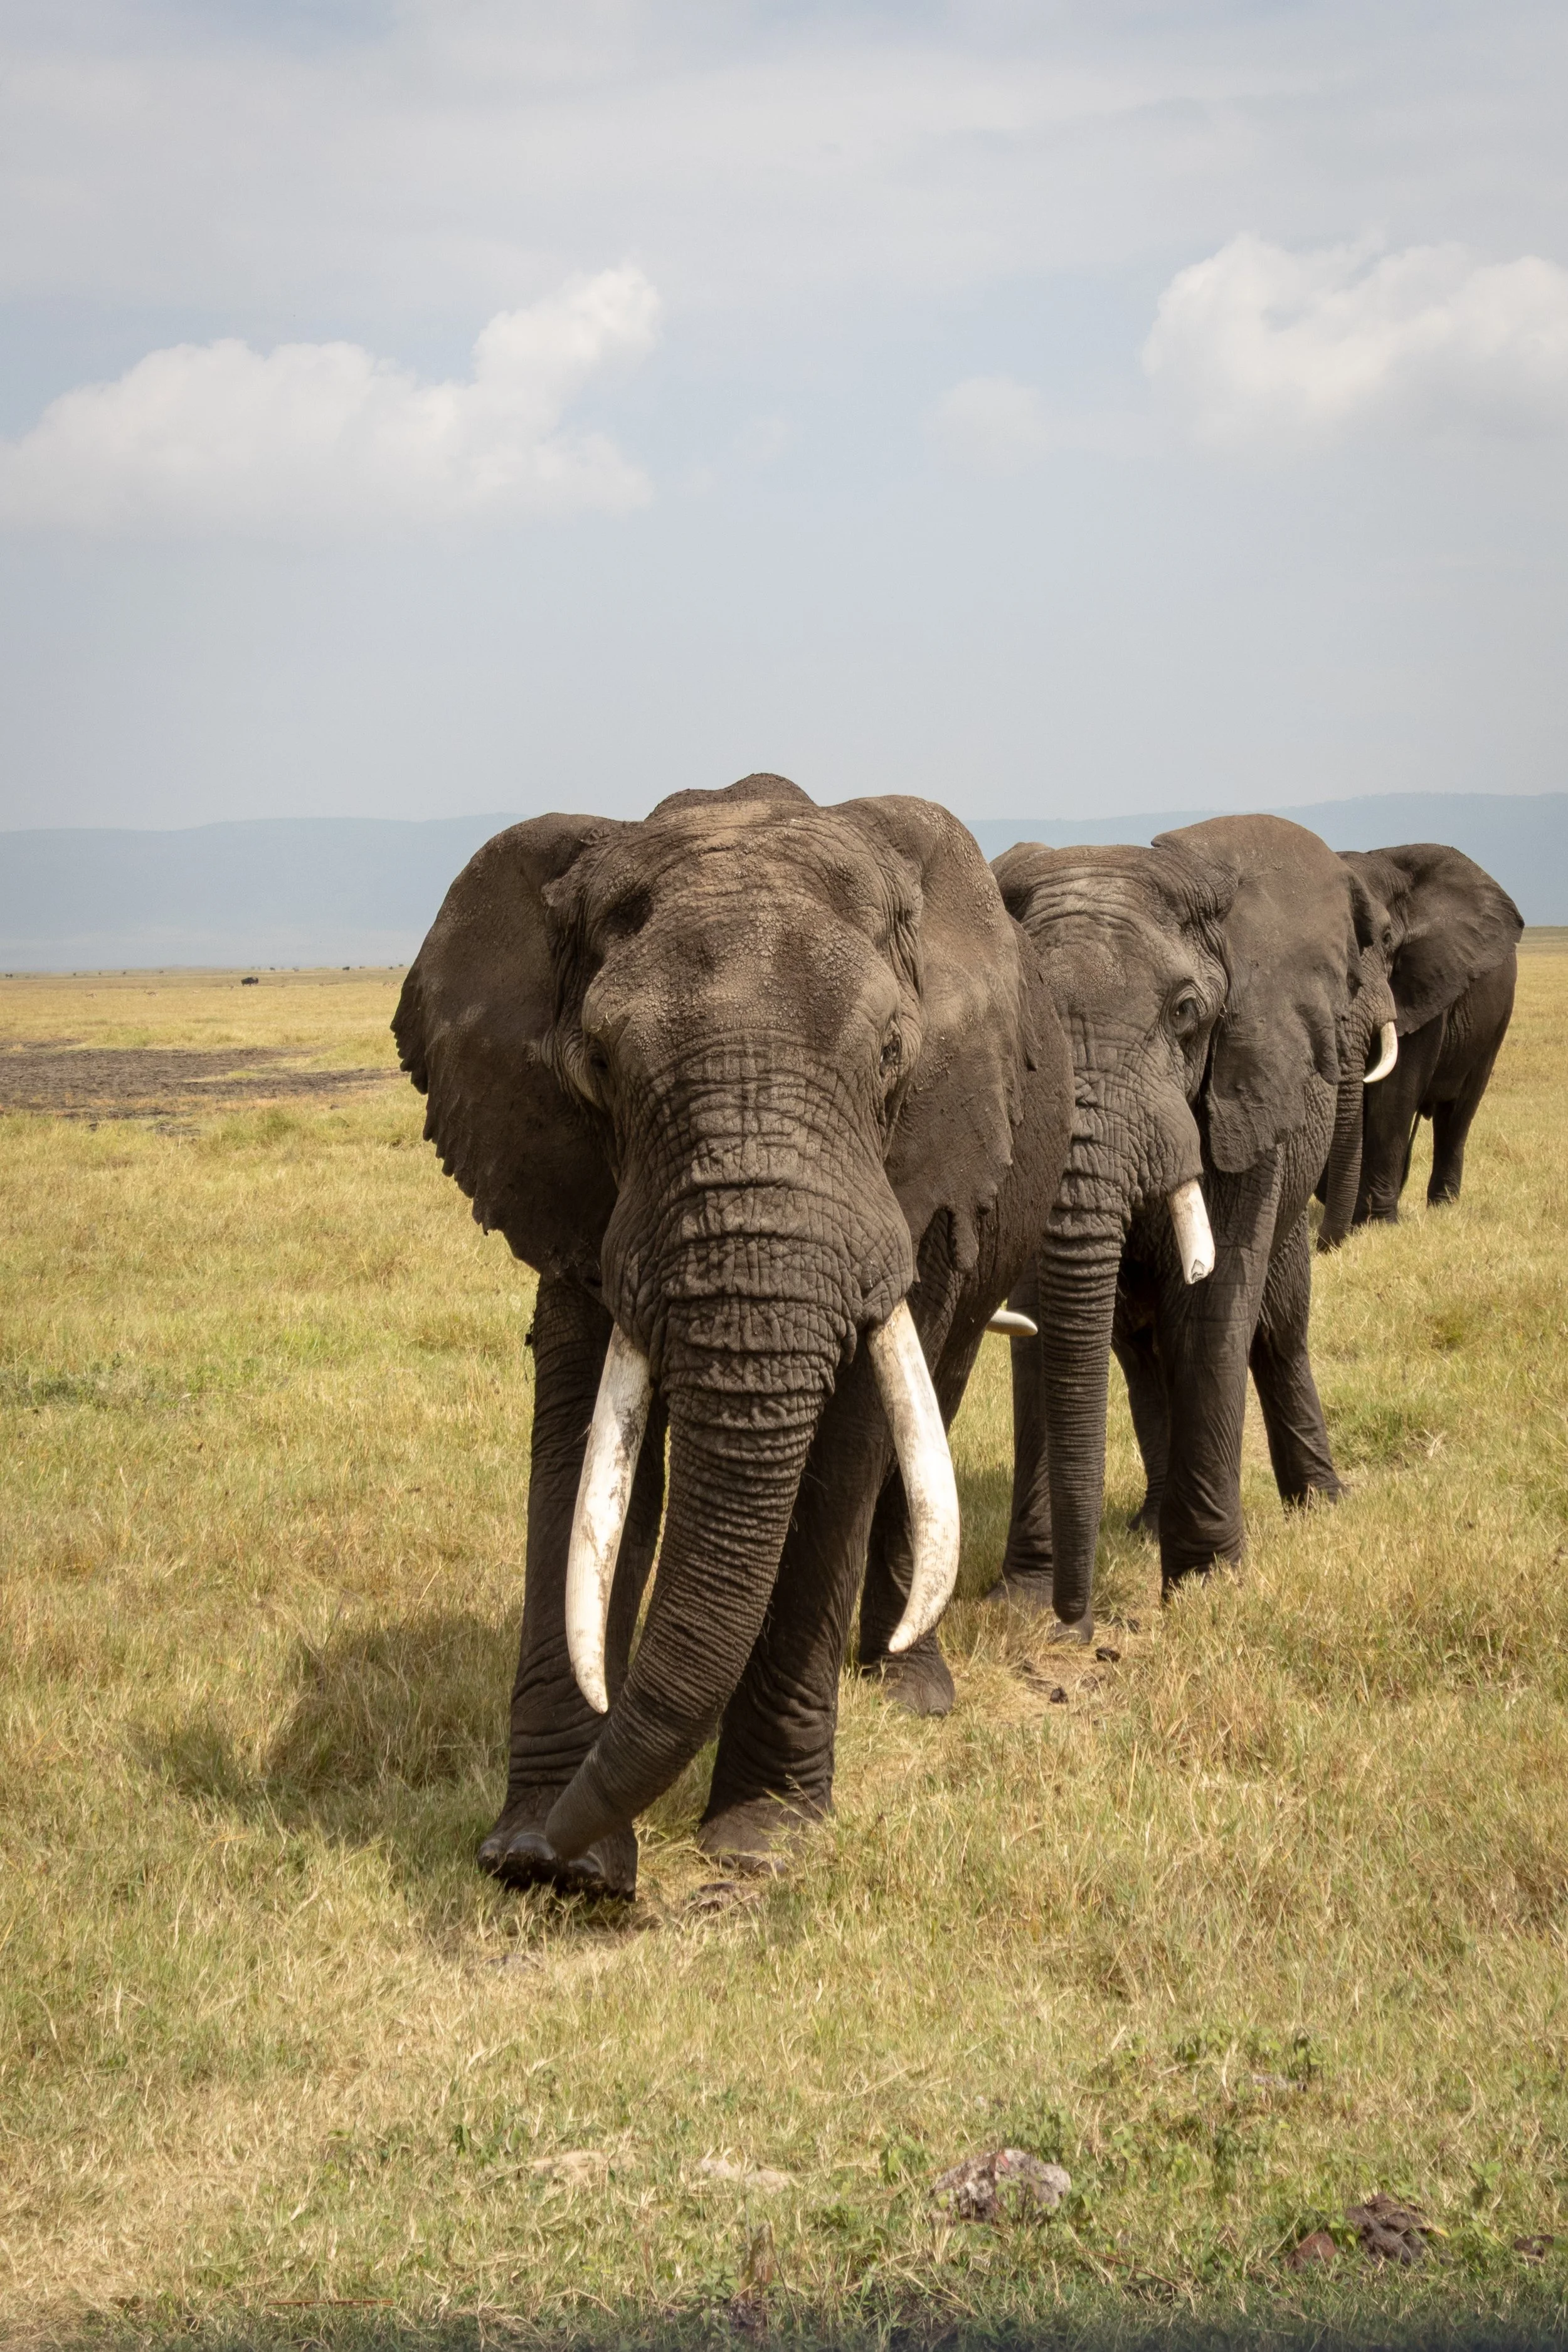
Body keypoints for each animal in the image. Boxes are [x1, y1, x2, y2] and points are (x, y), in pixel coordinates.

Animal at [393, 774, 1072, 1895]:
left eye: (892, 1056)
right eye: (599, 1067)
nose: (556, 1854)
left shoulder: (915, 1168)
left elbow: (847, 1450)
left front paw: (764, 1836)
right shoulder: (572, 1181)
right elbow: (584, 1450)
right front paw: (544, 1858)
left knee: (935, 1393)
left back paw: (907, 1688)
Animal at [986, 816, 1383, 1639]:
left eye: (1186, 1013)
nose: (1078, 1626)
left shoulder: (1245, 1089)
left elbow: (1211, 1311)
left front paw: (1207, 1587)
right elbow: (1039, 1323)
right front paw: (1020, 1599)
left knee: (1278, 1331)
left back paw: (1318, 1505)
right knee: (1141, 1352)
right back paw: (1145, 1525)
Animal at [1319, 843, 1522, 1239]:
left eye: (1386, 940)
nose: (1326, 1243)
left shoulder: (1426, 982)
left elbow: (1396, 1092)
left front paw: (1379, 1225)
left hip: (1497, 1021)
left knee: (1456, 1115)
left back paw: (1443, 1206)